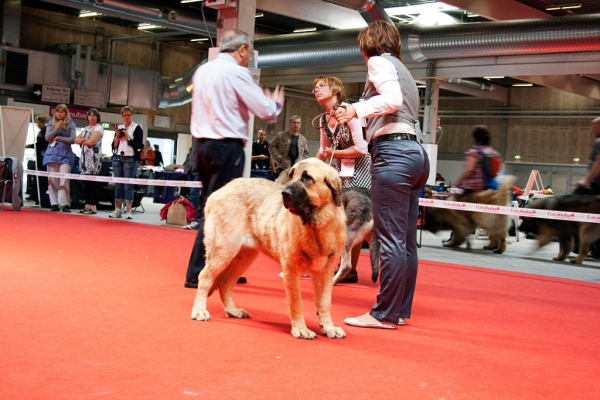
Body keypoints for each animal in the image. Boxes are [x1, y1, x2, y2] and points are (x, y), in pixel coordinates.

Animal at [190, 158, 350, 340]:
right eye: (291, 176)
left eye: (307, 178)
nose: (284, 193)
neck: (316, 225)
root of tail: (217, 192)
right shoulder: (291, 269)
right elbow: (296, 302)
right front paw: (300, 328)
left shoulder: (325, 271)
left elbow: (324, 303)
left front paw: (329, 328)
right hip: (224, 249)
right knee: (205, 277)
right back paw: (199, 310)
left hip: (244, 256)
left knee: (225, 283)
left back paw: (232, 310)